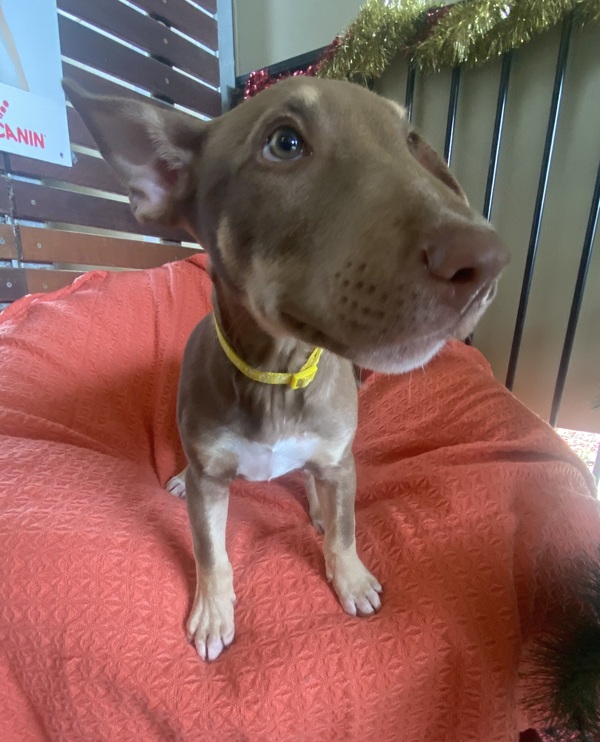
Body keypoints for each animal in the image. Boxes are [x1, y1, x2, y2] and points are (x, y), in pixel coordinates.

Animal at [64, 76, 508, 663]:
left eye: (412, 142)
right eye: (285, 143)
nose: (486, 259)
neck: (277, 375)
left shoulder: (340, 460)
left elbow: (344, 531)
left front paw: (350, 576)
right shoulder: (212, 477)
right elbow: (210, 551)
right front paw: (213, 610)